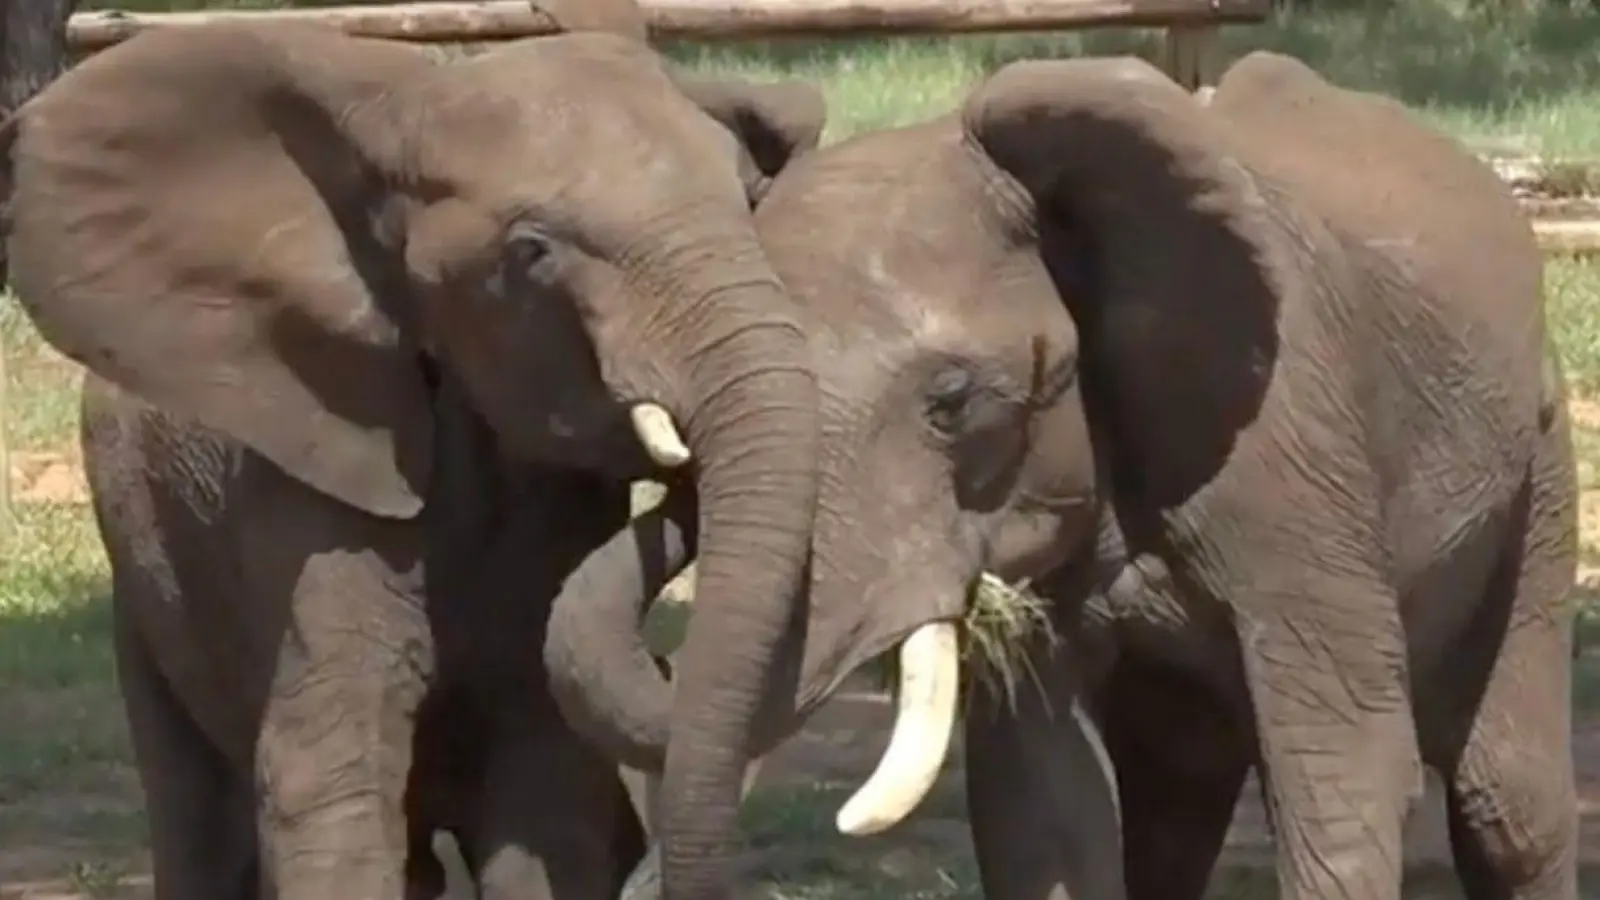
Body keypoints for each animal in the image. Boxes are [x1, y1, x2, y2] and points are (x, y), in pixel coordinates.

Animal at [0, 8, 825, 896]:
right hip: (147, 578)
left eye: (750, 200)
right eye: (532, 251)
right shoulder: (302, 491)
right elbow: (331, 785)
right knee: (199, 820)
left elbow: (543, 798)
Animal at [544, 52, 1580, 896]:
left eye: (954, 402)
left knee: (1508, 804)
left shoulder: (1295, 442)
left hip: (1540, 461)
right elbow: (1045, 803)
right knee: (1176, 803)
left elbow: (1344, 767)